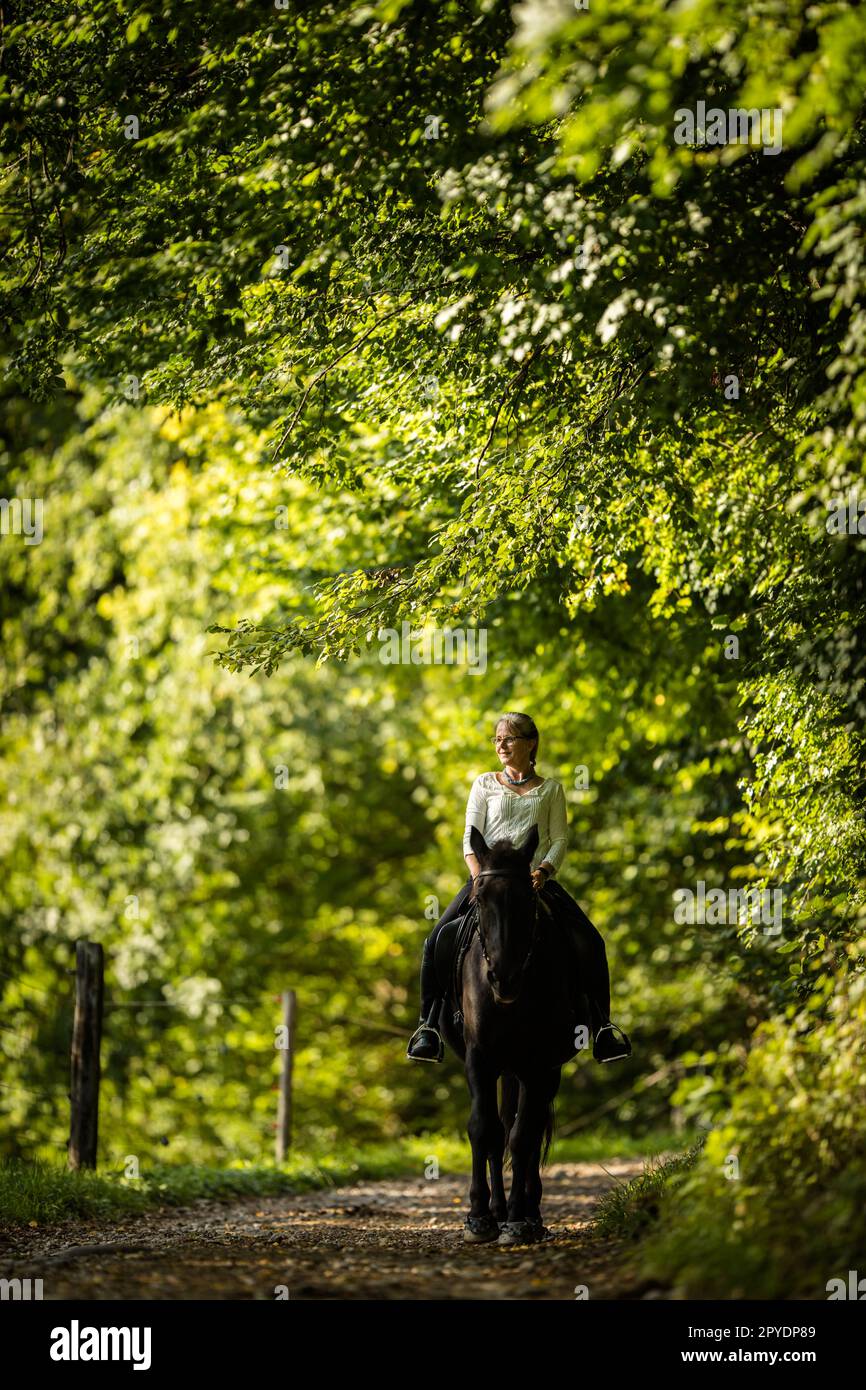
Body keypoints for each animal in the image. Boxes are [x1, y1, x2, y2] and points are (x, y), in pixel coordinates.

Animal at [436, 822, 592, 1251]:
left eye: (528, 898)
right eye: (480, 898)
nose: (503, 979)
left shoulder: (540, 1063)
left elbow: (524, 1137)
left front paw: (520, 1222)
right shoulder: (480, 1058)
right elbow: (484, 1128)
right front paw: (479, 1217)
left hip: (535, 1070)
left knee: (528, 1129)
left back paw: (529, 1213)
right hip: (505, 1068)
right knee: (500, 1128)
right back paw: (499, 1210)